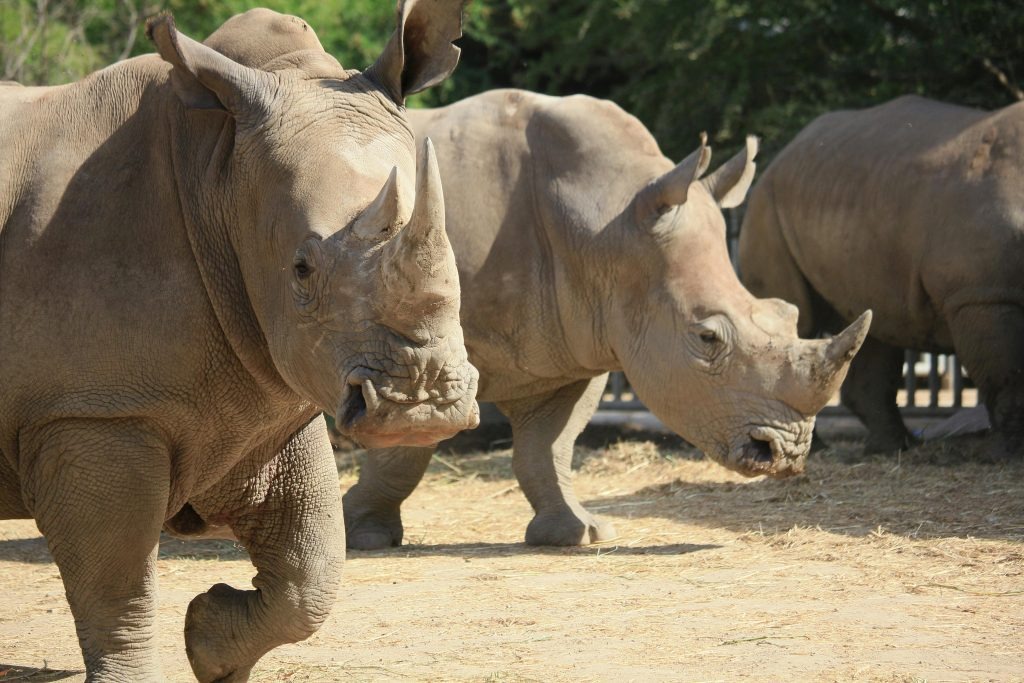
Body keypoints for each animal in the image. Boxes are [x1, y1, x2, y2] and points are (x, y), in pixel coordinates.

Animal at [0, 3, 478, 681]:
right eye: (301, 270)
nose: (425, 408)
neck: (219, 174)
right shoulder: (91, 409)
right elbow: (117, 585)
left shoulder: (269, 395)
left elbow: (312, 568)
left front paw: (210, 642)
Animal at [338, 89, 872, 548]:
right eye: (707, 338)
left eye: (787, 314)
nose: (786, 454)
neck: (606, 226)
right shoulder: (415, 345)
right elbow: (406, 443)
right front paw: (363, 537)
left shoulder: (573, 341)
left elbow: (550, 444)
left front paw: (577, 534)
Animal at [739, 95, 1024, 456]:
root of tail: (781, 155)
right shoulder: (982, 295)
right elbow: (1008, 374)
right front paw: (1008, 452)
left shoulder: (982, 294)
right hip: (767, 204)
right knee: (797, 318)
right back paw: (816, 451)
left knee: (873, 323)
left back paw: (891, 448)